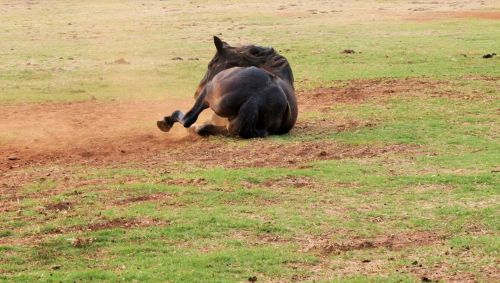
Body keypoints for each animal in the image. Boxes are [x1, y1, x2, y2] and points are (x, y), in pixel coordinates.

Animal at [157, 37, 296, 139]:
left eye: (211, 64)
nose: (196, 93)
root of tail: (255, 99)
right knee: (204, 128)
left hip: (207, 92)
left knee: (188, 119)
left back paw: (165, 122)